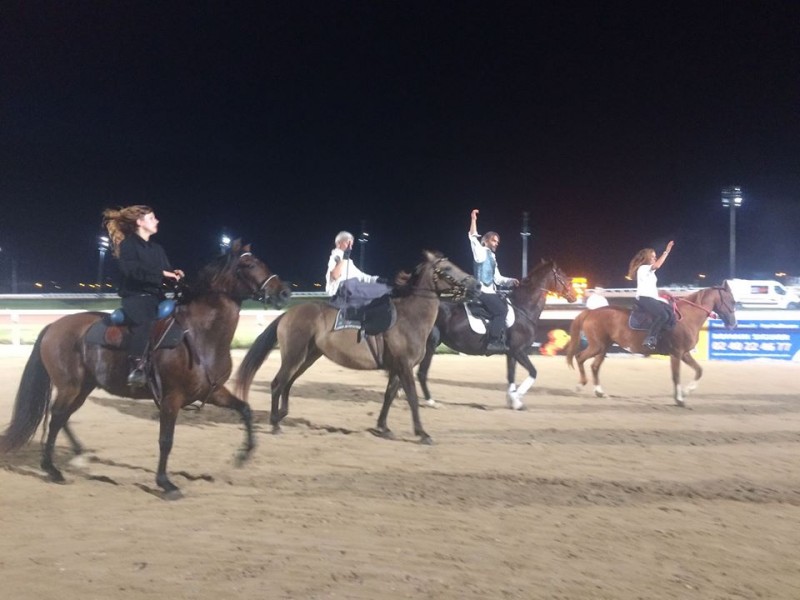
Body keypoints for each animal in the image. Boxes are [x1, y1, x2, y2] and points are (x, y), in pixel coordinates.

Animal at [0, 241, 292, 500]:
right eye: (249, 264)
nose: (285, 292)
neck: (199, 333)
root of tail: (54, 326)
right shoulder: (171, 398)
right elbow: (166, 440)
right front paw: (165, 483)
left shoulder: (213, 392)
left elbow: (245, 409)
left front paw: (244, 454)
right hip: (70, 386)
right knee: (57, 416)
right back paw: (52, 469)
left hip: (83, 387)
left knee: (61, 417)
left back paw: (78, 456)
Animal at [234, 251, 478, 442]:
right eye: (447, 268)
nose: (475, 284)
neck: (409, 317)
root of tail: (288, 314)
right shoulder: (405, 366)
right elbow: (412, 398)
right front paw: (422, 433)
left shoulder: (397, 369)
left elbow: (389, 396)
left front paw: (383, 427)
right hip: (294, 356)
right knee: (278, 383)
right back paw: (275, 423)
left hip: (308, 356)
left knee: (288, 383)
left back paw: (282, 415)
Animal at [418, 260, 576, 410]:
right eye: (562, 275)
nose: (573, 296)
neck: (522, 308)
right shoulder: (518, 351)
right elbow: (533, 372)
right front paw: (517, 399)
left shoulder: (511, 353)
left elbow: (511, 376)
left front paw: (513, 401)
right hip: (431, 344)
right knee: (421, 373)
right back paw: (431, 402)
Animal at [564, 282, 736, 406]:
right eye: (732, 301)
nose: (733, 324)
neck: (687, 317)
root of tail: (591, 312)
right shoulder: (676, 353)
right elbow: (676, 375)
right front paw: (680, 399)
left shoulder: (684, 353)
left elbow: (699, 370)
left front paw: (686, 392)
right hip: (597, 346)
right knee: (580, 357)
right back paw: (580, 385)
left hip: (604, 347)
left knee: (595, 366)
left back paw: (600, 392)